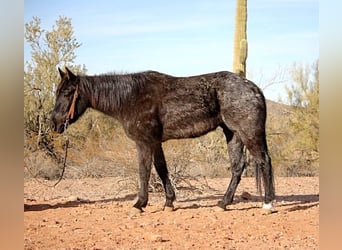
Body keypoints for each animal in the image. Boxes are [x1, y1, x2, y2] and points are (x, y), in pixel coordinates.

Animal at [50, 66, 276, 213]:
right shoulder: (155, 142)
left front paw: (139, 204)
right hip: (233, 134)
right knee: (238, 167)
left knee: (264, 161)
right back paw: (222, 204)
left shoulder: (143, 143)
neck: (130, 98)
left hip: (248, 133)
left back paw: (267, 204)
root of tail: (254, 89)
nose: (54, 123)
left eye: (68, 92)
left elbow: (144, 171)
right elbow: (161, 169)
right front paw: (169, 202)